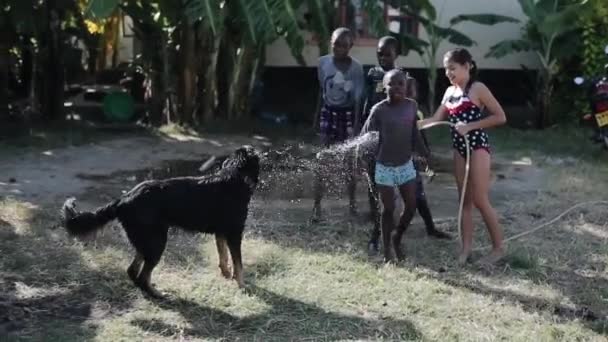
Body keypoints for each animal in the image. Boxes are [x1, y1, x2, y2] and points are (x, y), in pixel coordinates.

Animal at [60, 144, 260, 296]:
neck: (234, 175)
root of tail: (124, 199)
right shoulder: (234, 233)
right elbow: (238, 263)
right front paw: (242, 286)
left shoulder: (221, 232)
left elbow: (223, 257)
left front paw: (227, 275)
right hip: (157, 242)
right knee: (142, 275)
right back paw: (157, 295)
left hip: (146, 240)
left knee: (133, 271)